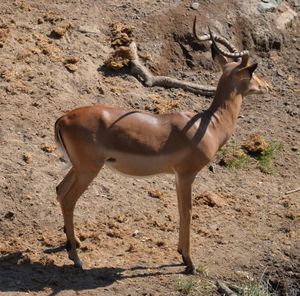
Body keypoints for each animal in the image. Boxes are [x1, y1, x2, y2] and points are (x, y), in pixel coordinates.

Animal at [55, 28, 268, 274]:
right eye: (252, 71)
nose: (266, 86)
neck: (210, 124)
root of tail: (63, 119)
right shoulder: (186, 175)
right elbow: (187, 212)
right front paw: (189, 262)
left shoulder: (176, 177)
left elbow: (180, 210)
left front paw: (181, 253)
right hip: (89, 170)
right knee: (68, 200)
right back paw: (77, 259)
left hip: (78, 168)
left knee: (59, 190)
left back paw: (75, 243)